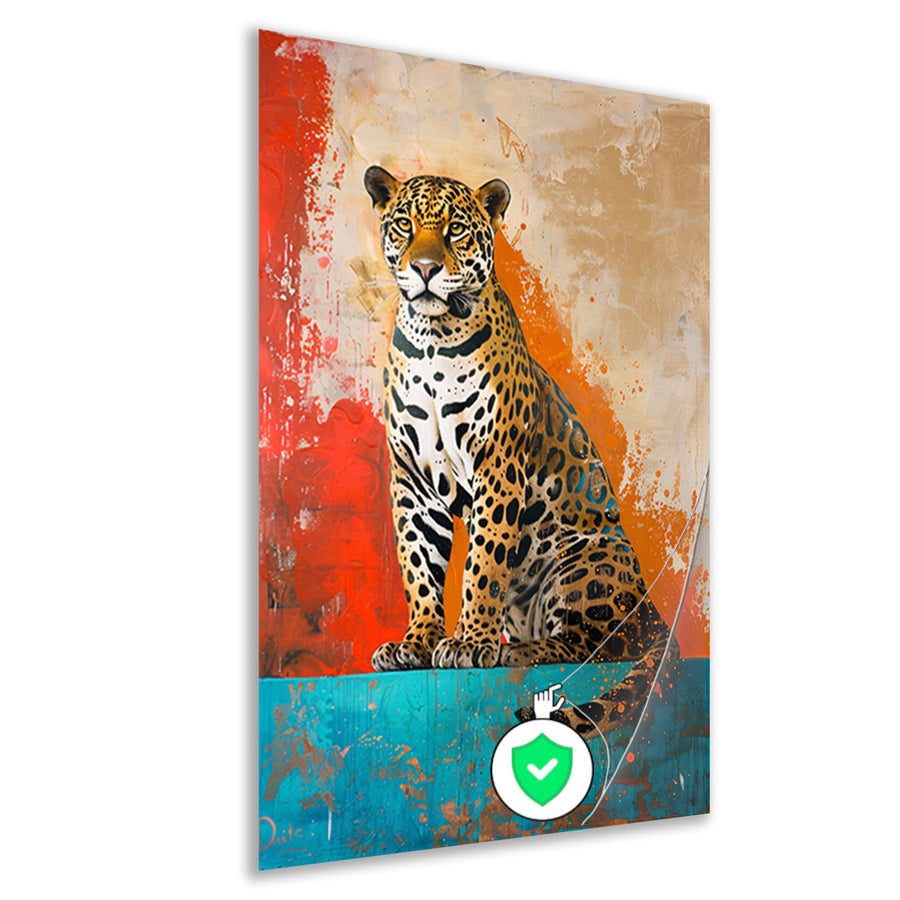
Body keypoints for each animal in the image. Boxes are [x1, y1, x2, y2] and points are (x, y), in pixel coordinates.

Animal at [364, 165, 677, 736]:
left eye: (456, 230)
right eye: (404, 225)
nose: (424, 268)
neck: (432, 339)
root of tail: (651, 612)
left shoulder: (497, 463)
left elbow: (483, 564)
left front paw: (468, 642)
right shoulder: (413, 483)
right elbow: (419, 565)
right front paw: (417, 642)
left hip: (586, 561)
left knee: (588, 646)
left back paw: (514, 652)